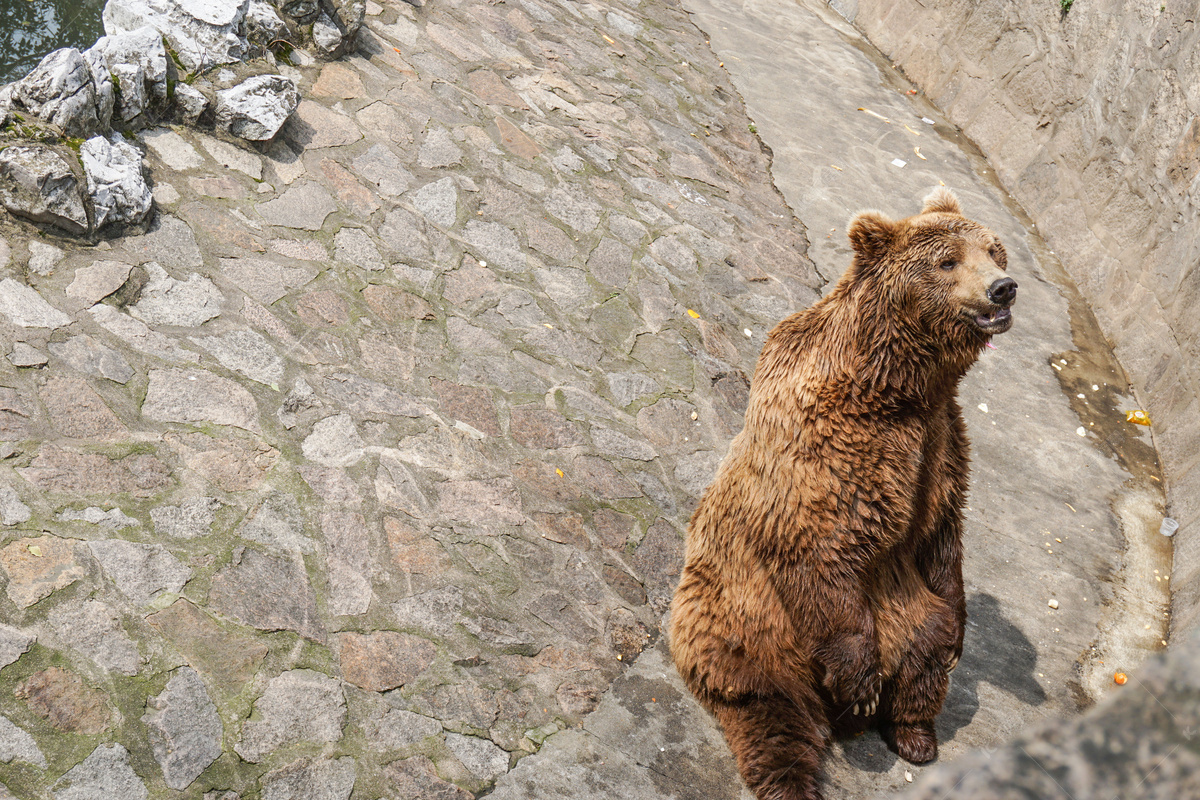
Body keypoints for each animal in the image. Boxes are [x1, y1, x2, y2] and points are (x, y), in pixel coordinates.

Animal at [672, 189, 1017, 800]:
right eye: (947, 261)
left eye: (994, 250)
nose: (1003, 287)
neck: (901, 386)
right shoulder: (830, 445)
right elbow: (819, 541)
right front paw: (857, 681)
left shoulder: (942, 445)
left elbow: (942, 535)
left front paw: (960, 637)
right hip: (744, 628)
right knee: (771, 712)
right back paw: (811, 756)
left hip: (905, 612)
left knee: (926, 657)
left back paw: (914, 735)